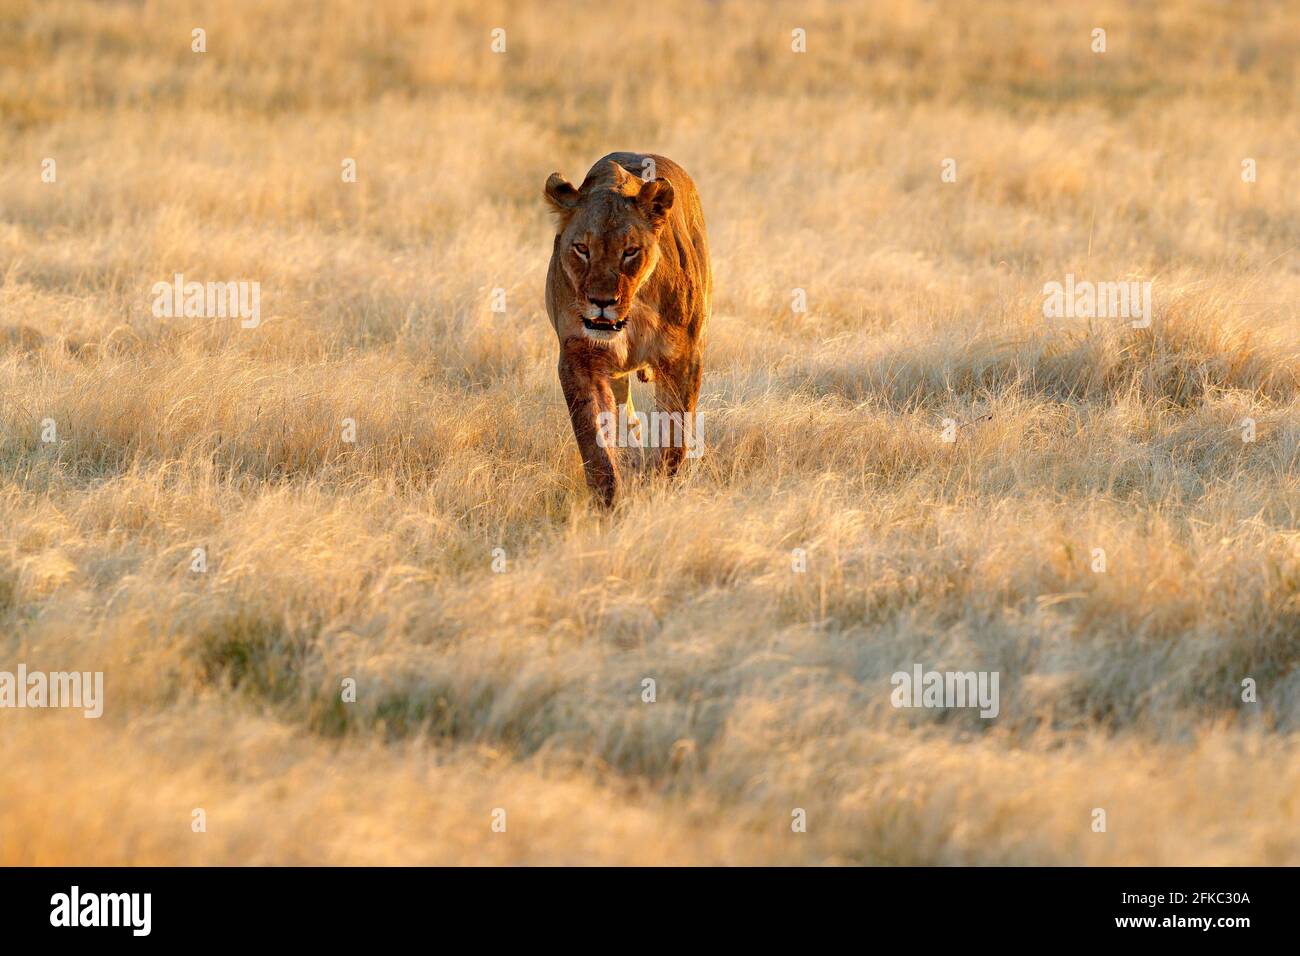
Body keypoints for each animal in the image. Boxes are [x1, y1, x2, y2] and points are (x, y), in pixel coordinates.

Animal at [543, 152, 711, 507]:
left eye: (630, 251)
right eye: (581, 248)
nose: (602, 301)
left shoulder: (682, 358)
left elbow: (674, 433)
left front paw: (664, 489)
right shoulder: (579, 359)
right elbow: (594, 440)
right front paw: (608, 504)